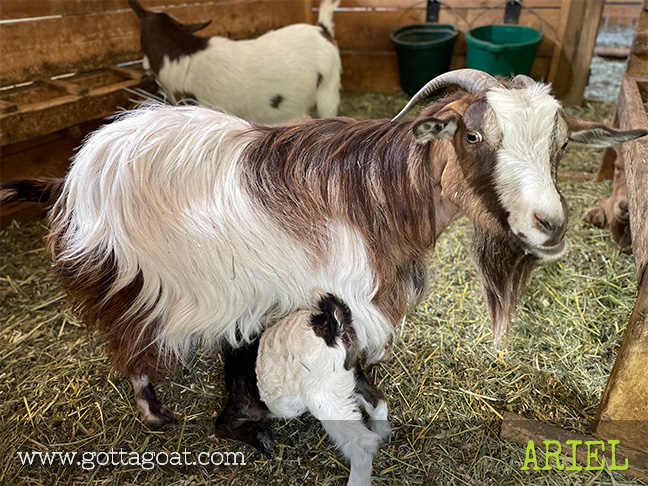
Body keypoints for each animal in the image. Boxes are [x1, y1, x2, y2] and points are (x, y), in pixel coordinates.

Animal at [2, 69, 646, 435]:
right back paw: (157, 415)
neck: (382, 195)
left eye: (561, 146)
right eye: (472, 135)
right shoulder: (349, 299)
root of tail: (71, 178)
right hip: (129, 278)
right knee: (129, 344)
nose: (550, 224)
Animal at [214, 292, 389, 486]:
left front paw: (262, 439)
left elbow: (222, 426)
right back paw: (382, 432)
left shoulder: (242, 403)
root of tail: (333, 329)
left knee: (362, 442)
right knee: (378, 402)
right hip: (349, 377)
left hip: (324, 399)